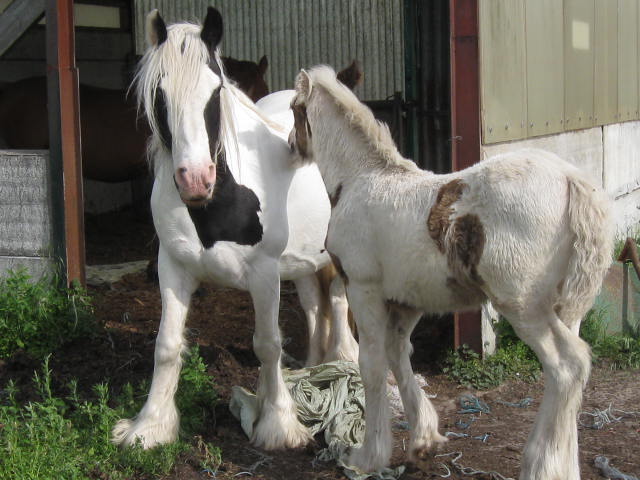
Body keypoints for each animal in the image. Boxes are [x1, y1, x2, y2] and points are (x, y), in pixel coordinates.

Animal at [288, 64, 612, 480]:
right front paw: (423, 441)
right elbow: (398, 356)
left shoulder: (363, 288)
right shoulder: (405, 301)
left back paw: (540, 465)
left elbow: (371, 365)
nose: (291, 146)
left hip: (524, 306)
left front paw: (367, 456)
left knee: (567, 367)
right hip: (566, 308)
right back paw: (561, 463)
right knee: (571, 377)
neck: (362, 179)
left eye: (295, 109)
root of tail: (572, 180)